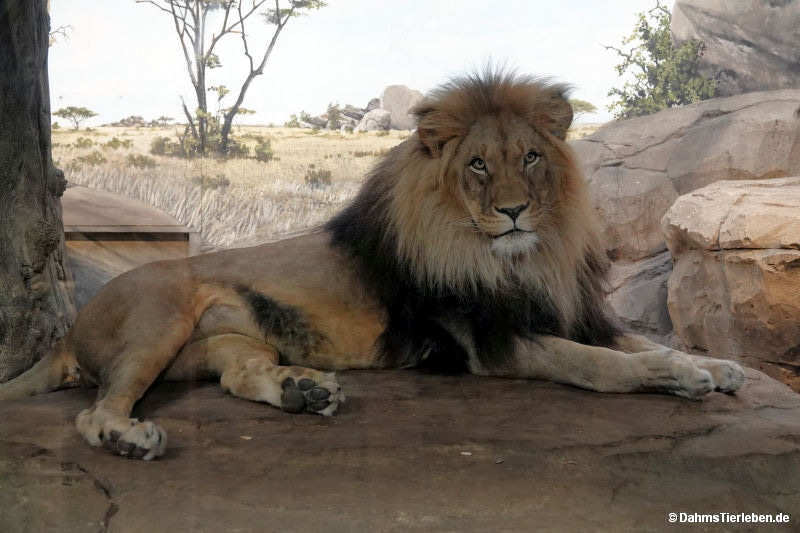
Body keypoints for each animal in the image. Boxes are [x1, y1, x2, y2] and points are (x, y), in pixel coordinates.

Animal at [0, 71, 744, 460]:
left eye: (531, 157)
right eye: (478, 165)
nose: (513, 211)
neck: (522, 259)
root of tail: (67, 332)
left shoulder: (567, 309)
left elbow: (633, 339)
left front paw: (716, 364)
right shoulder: (489, 342)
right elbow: (600, 363)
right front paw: (675, 375)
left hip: (227, 340)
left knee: (239, 372)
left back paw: (303, 391)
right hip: (158, 320)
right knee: (94, 410)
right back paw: (128, 436)